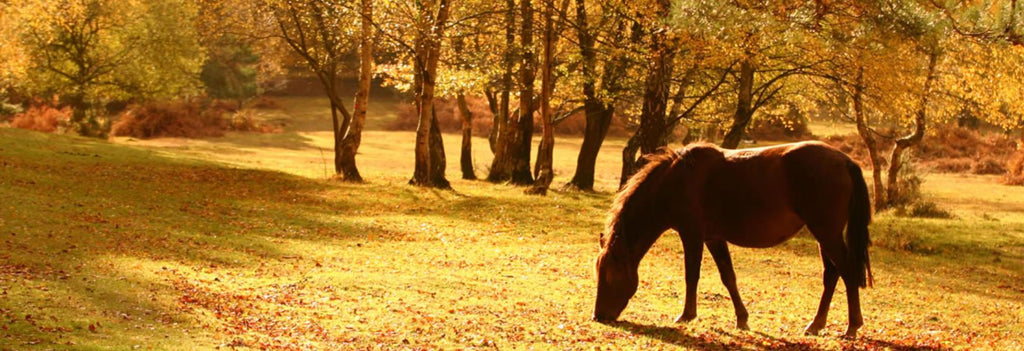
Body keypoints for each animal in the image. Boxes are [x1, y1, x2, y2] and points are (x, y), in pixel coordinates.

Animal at [593, 141, 872, 339]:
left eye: (609, 274)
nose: (599, 316)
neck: (676, 180)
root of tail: (845, 161)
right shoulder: (714, 238)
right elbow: (728, 277)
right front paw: (742, 319)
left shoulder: (692, 234)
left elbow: (692, 275)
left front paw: (686, 315)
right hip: (824, 235)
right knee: (832, 274)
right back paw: (816, 324)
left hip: (826, 232)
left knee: (847, 271)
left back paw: (851, 327)